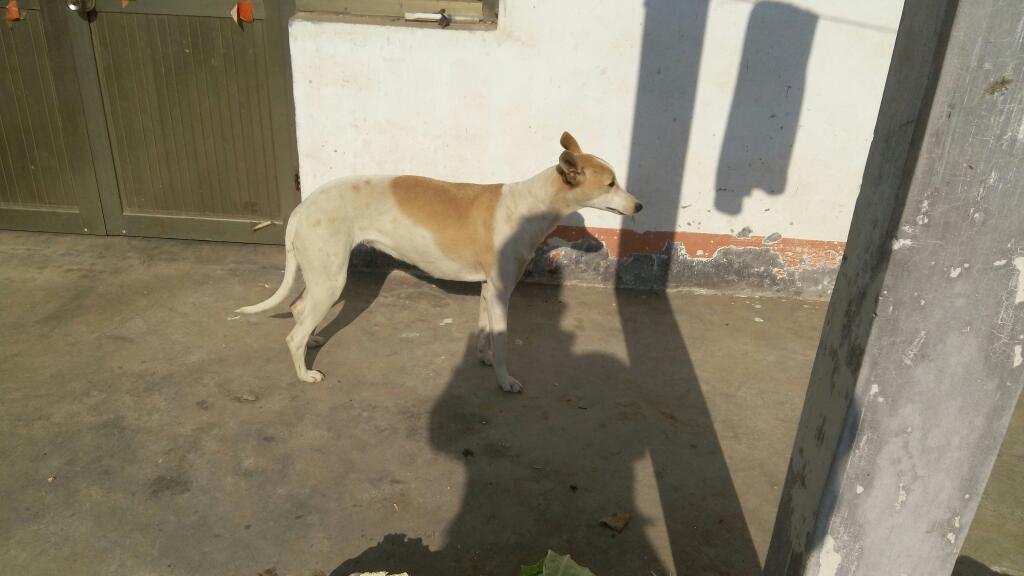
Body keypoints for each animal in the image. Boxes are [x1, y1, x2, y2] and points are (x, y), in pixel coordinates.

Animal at [237, 132, 642, 392]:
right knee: (293, 334)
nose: (639, 206)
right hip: (331, 279)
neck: (529, 205)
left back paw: (314, 337)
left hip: (321, 275)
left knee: (298, 308)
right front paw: (504, 381)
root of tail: (302, 207)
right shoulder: (501, 292)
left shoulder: (488, 289)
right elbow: (503, 344)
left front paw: (484, 359)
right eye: (610, 184)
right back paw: (305, 373)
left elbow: (485, 334)